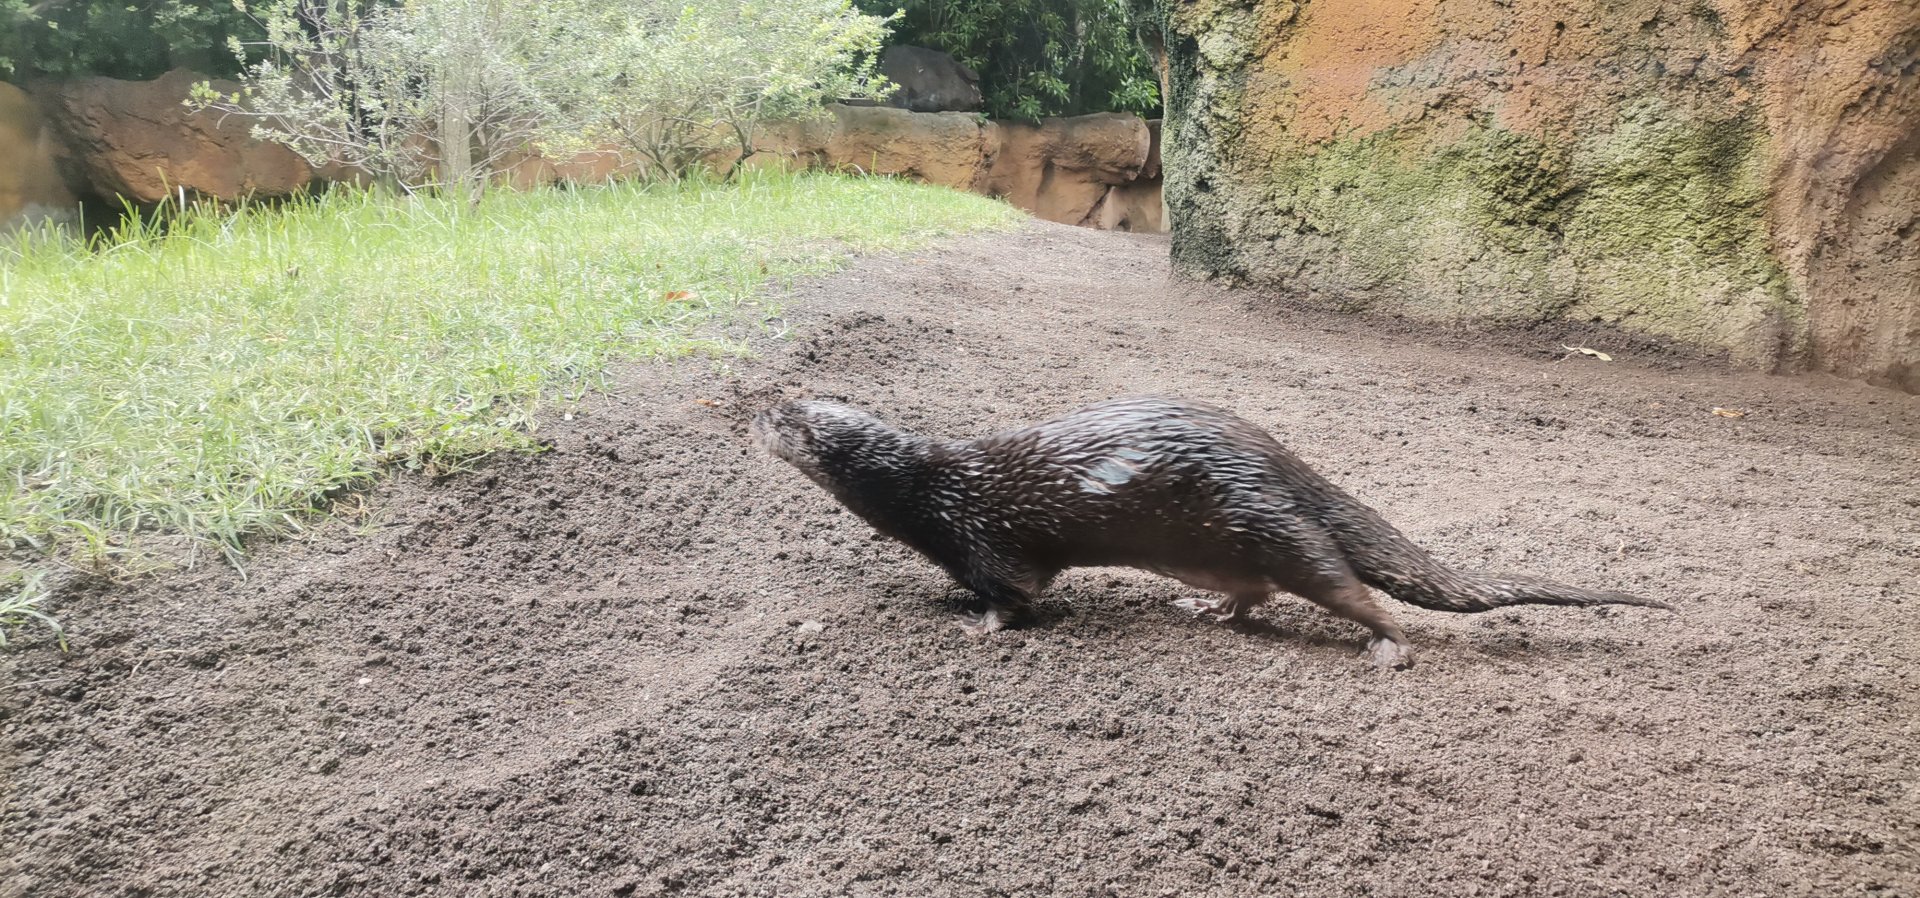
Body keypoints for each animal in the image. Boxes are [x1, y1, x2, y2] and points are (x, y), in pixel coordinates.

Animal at [751, 396, 1671, 669]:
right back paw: (1209, 614)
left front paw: (979, 627)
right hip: (1221, 545)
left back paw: (1387, 648)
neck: (934, 492)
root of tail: (1280, 460)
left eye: (788, 418)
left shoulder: (991, 540)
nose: (753, 411)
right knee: (1250, 593)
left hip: (1272, 528)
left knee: (1348, 590)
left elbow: (1015, 596)